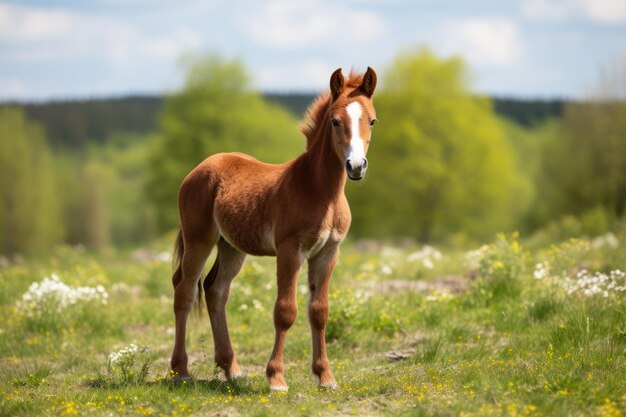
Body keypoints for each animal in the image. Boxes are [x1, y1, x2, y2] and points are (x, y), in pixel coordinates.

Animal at [168, 66, 378, 390]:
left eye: (372, 120)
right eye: (335, 121)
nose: (356, 166)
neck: (319, 190)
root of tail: (200, 167)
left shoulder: (328, 253)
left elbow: (319, 312)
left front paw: (325, 377)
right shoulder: (290, 250)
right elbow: (285, 310)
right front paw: (276, 378)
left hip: (231, 247)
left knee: (216, 290)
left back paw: (232, 368)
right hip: (198, 240)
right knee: (185, 291)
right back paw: (181, 371)